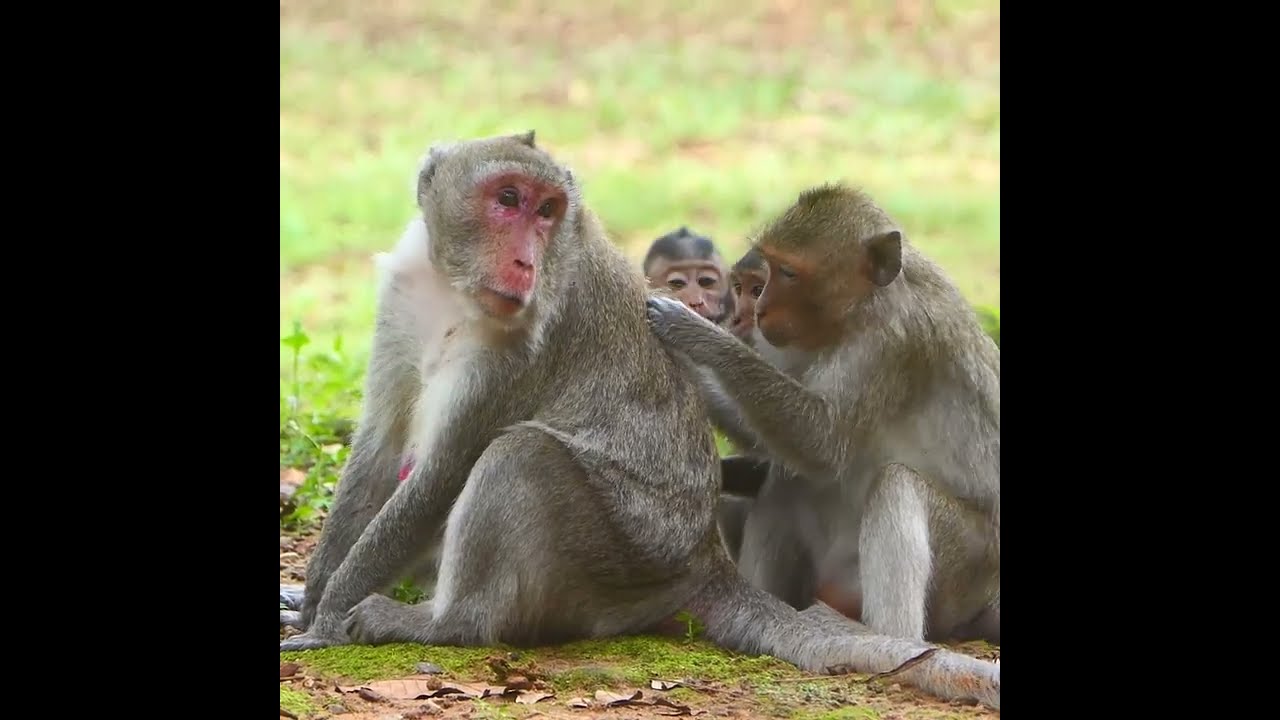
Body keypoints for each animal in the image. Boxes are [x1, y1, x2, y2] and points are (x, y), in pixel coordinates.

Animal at [645, 182, 1000, 647]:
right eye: (768, 272)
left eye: (788, 274)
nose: (757, 312)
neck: (856, 311)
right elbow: (776, 442)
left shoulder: (889, 341)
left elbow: (821, 442)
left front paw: (694, 332)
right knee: (788, 484)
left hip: (967, 573)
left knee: (896, 485)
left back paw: (889, 637)